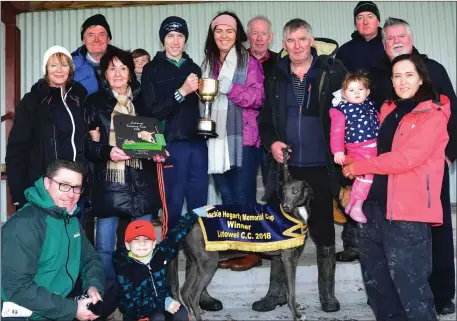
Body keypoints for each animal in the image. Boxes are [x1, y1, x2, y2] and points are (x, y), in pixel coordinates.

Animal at [175, 148, 314, 320]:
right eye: (283, 192)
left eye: (295, 191)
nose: (286, 207)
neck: (295, 214)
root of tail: (189, 221)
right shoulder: (289, 257)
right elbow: (292, 291)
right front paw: (296, 314)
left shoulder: (284, 257)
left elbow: (287, 287)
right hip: (208, 263)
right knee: (193, 294)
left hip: (196, 263)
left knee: (185, 291)